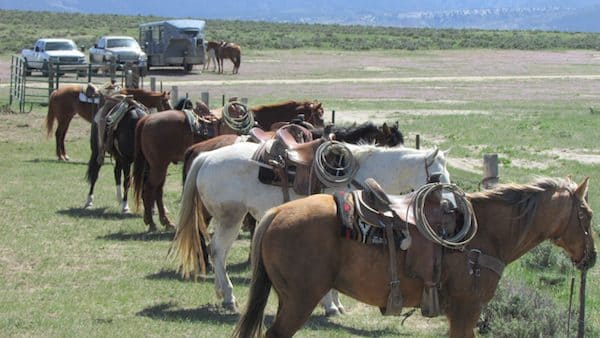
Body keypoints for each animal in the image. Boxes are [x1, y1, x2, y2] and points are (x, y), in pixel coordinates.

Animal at [169, 140, 450, 312]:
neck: (360, 176)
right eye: (436, 176)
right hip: (231, 217)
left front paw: (336, 304)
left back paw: (221, 293)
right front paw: (330, 305)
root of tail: (207, 157)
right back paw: (228, 296)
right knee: (218, 250)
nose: (448, 204)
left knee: (219, 251)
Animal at [234, 177, 596, 338]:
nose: (591, 257)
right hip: (300, 301)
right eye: (588, 215)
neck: (485, 234)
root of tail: (277, 213)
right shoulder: (466, 311)